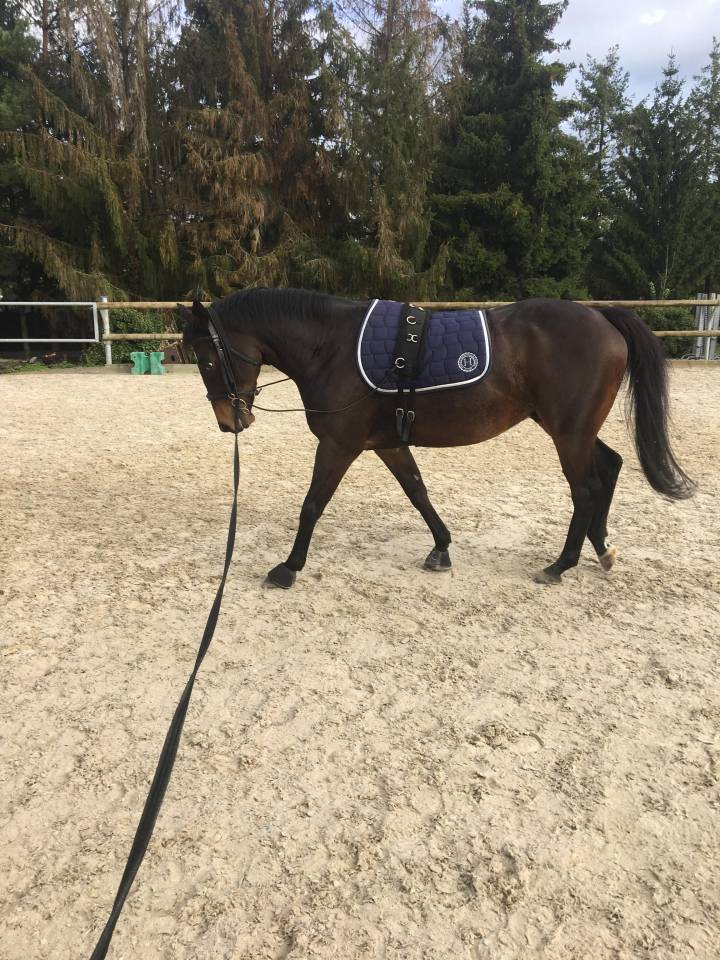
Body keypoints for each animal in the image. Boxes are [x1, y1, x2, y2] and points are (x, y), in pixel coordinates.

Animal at [180, 288, 693, 589]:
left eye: (207, 357)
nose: (229, 422)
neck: (332, 347)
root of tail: (600, 317)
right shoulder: (387, 443)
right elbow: (417, 491)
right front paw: (441, 547)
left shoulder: (340, 445)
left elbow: (312, 504)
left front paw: (289, 566)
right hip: (572, 429)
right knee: (610, 468)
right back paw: (601, 549)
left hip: (568, 433)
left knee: (585, 489)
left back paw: (560, 564)